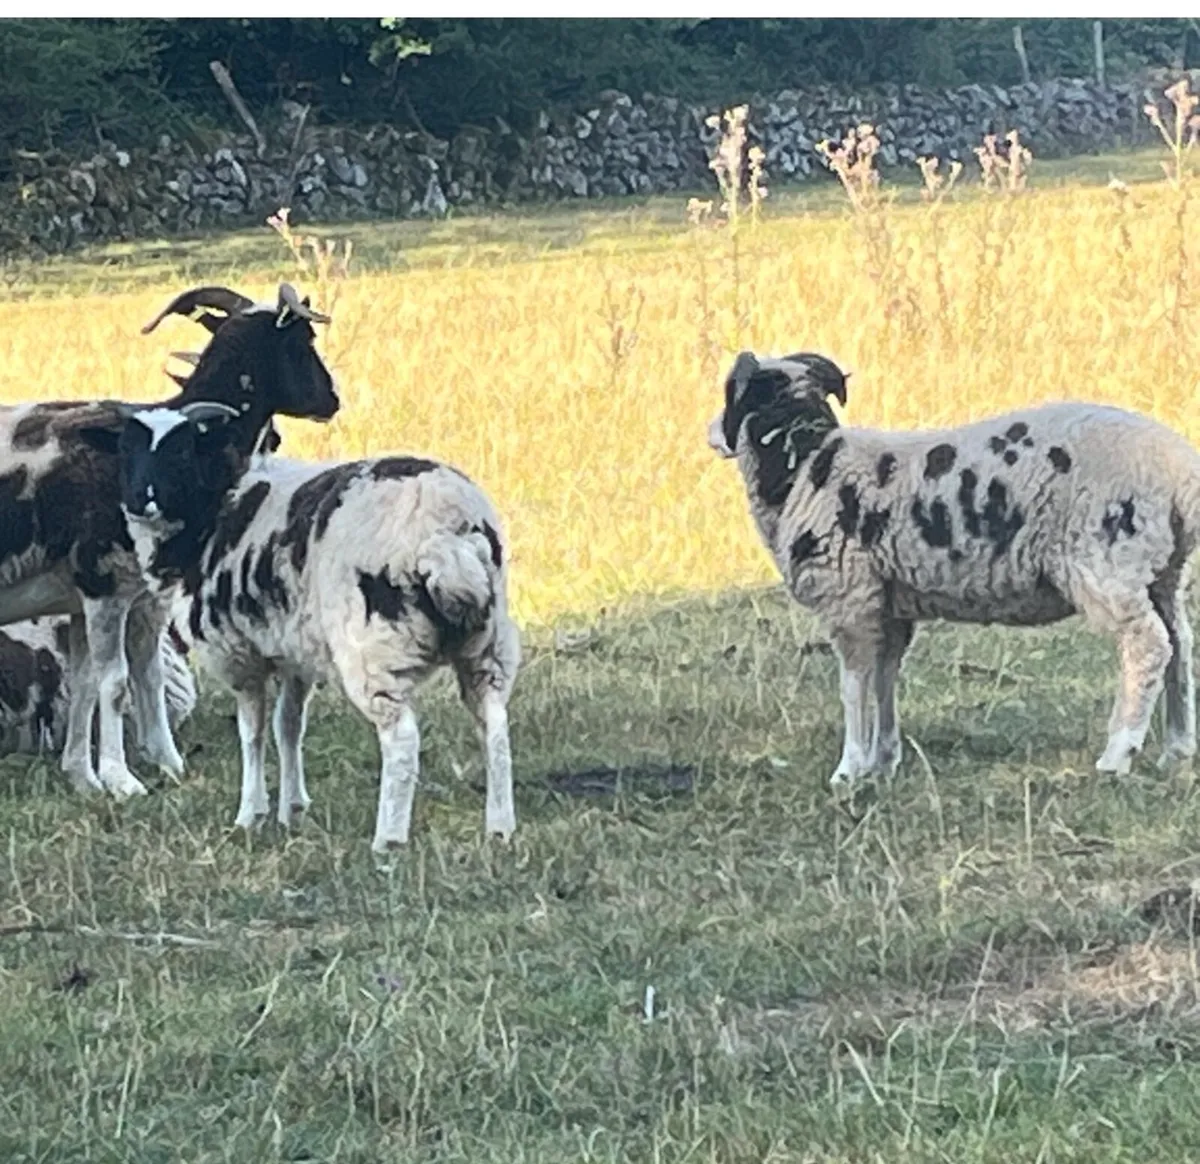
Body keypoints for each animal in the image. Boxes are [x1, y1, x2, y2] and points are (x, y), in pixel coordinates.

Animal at [86, 401, 522, 852]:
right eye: (125, 448)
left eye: (181, 450)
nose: (141, 501)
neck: (211, 513)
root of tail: (445, 534)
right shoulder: (294, 653)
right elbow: (288, 726)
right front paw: (292, 809)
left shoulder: (239, 656)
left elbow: (252, 733)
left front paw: (250, 814)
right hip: (488, 644)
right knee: (494, 725)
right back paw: (500, 828)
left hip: (376, 649)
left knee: (401, 739)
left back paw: (387, 841)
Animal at [708, 350, 1200, 785]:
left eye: (733, 395)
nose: (711, 431)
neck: (807, 465)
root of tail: (1179, 469)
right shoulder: (888, 610)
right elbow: (884, 680)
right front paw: (883, 762)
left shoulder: (851, 600)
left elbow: (854, 688)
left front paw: (849, 771)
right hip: (1162, 571)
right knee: (1179, 642)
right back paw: (1177, 750)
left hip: (1107, 562)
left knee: (1148, 645)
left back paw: (1117, 755)